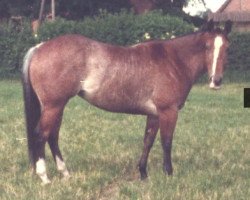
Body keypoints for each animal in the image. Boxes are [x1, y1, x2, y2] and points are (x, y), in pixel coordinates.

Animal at [22, 20, 232, 184]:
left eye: (227, 47)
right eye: (207, 47)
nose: (216, 81)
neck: (174, 60)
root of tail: (39, 47)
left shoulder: (154, 114)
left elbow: (148, 142)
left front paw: (143, 174)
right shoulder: (168, 112)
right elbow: (166, 142)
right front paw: (169, 174)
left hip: (57, 107)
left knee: (52, 136)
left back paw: (65, 173)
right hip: (54, 106)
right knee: (41, 135)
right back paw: (44, 177)